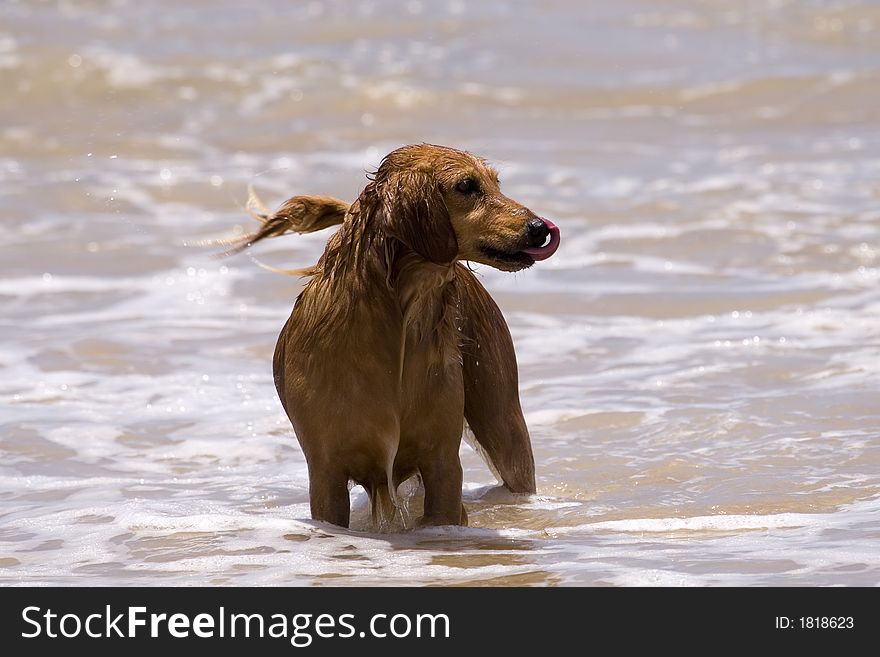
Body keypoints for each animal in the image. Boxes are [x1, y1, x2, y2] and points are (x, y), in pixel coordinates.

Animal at [227, 145, 556, 528]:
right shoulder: (325, 472)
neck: (399, 324)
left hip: (503, 422)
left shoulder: (443, 463)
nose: (540, 228)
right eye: (466, 185)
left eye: (495, 183)